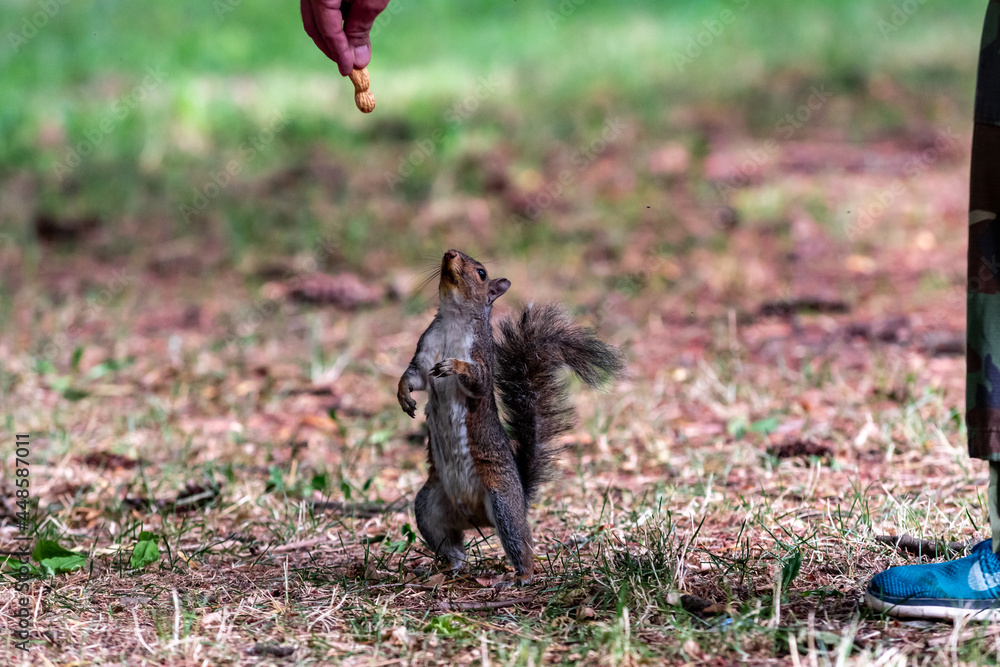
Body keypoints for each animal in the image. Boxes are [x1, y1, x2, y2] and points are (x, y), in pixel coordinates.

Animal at [397, 249, 626, 584]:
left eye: (481, 272)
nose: (449, 253)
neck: (454, 320)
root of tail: (475, 518)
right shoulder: (425, 350)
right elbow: (414, 377)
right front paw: (403, 395)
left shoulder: (482, 356)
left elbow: (477, 380)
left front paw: (454, 366)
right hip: (429, 507)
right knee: (452, 546)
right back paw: (448, 568)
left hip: (502, 501)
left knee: (520, 543)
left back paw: (521, 576)